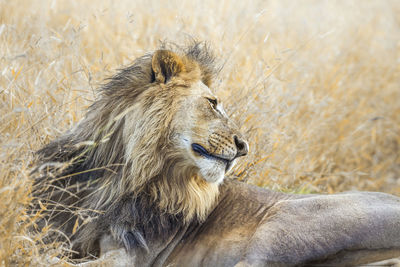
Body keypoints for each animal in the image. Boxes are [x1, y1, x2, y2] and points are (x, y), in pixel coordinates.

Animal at [33, 43, 400, 266]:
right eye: (212, 103)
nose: (244, 147)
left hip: (281, 225)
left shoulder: (128, 256)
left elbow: (55, 261)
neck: (119, 174)